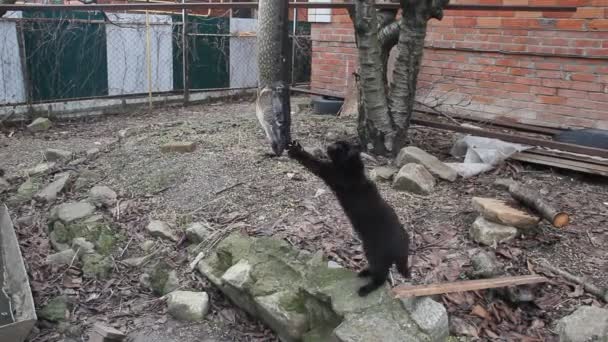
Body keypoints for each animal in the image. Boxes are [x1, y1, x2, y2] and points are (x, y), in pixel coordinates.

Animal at [288, 140, 410, 296]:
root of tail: (404, 245)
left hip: (375, 253)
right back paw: (365, 272)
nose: (328, 146)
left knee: (381, 277)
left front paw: (296, 150)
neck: (354, 171)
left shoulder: (330, 173)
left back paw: (366, 288)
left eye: (338, 147)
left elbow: (313, 162)